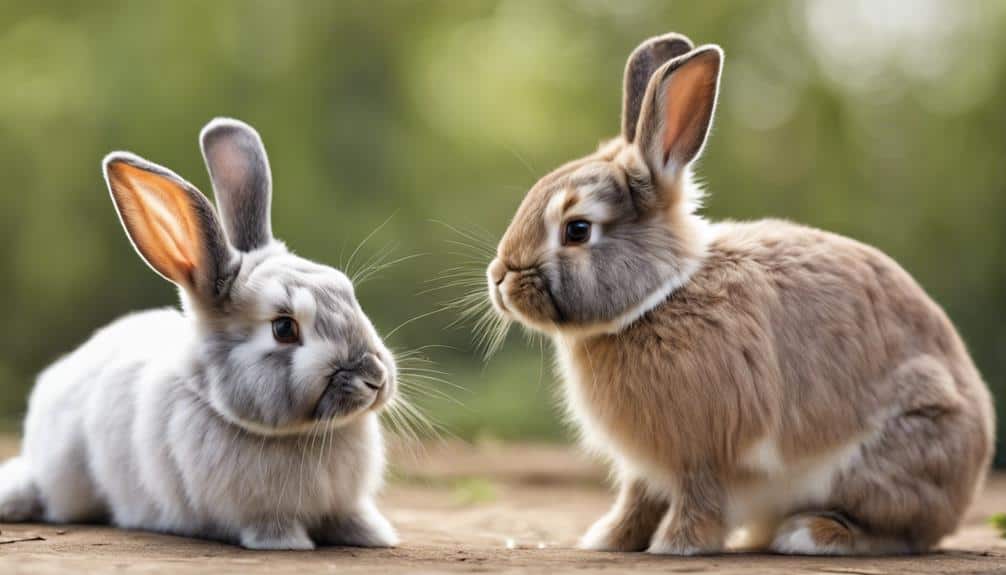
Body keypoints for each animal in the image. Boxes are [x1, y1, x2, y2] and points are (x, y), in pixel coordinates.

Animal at [0, 118, 399, 550]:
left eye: (347, 291)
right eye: (283, 328)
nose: (375, 378)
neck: (300, 435)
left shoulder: (344, 503)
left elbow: (350, 517)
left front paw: (375, 536)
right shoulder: (256, 511)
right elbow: (272, 526)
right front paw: (287, 544)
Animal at [486, 33, 994, 556]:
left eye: (577, 230)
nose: (499, 278)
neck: (660, 296)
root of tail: (971, 473)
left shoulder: (704, 451)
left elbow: (698, 496)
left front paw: (678, 545)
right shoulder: (645, 469)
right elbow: (637, 499)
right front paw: (609, 539)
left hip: (892, 456)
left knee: (898, 531)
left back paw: (810, 533)